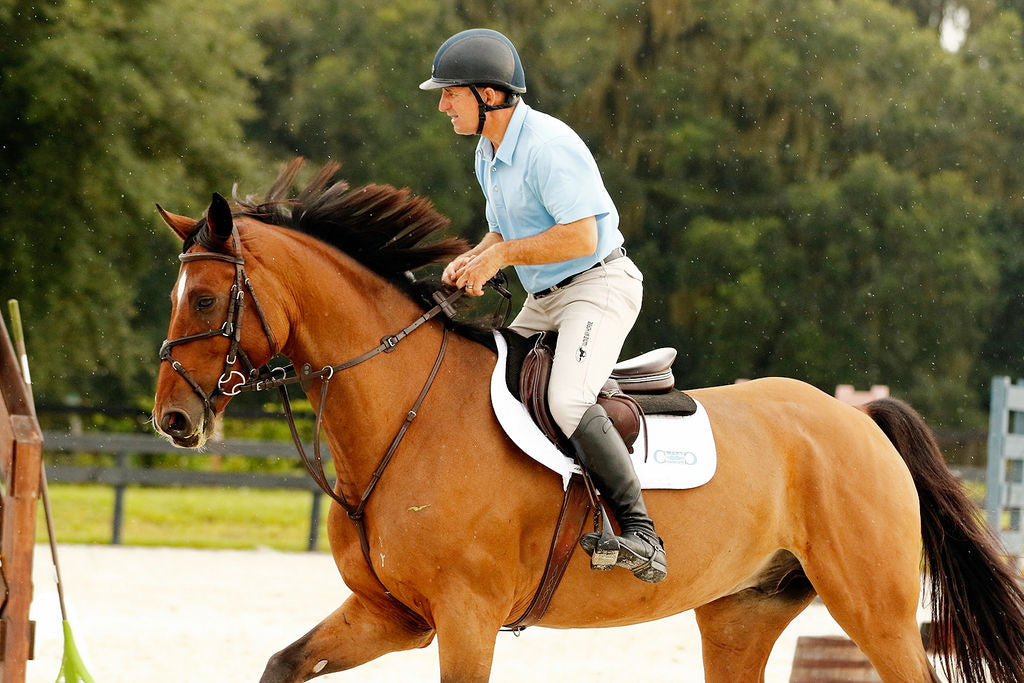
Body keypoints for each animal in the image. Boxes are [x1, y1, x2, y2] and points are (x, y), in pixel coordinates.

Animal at [152, 159, 1024, 683]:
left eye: (207, 298)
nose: (172, 419)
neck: (404, 415)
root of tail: (857, 419)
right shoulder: (391, 615)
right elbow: (282, 663)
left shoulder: (465, 621)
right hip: (742, 614)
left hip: (873, 608)